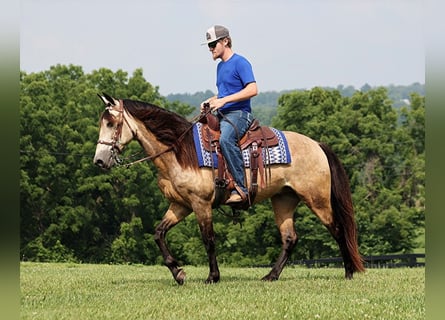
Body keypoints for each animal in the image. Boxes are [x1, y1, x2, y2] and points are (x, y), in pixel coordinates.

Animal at [93, 93, 364, 284]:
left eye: (111, 122)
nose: (99, 161)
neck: (179, 151)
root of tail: (317, 144)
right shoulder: (180, 205)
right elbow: (159, 234)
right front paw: (178, 273)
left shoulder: (201, 204)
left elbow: (209, 239)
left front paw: (212, 277)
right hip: (283, 199)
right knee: (289, 238)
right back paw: (270, 276)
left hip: (317, 199)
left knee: (338, 228)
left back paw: (349, 272)